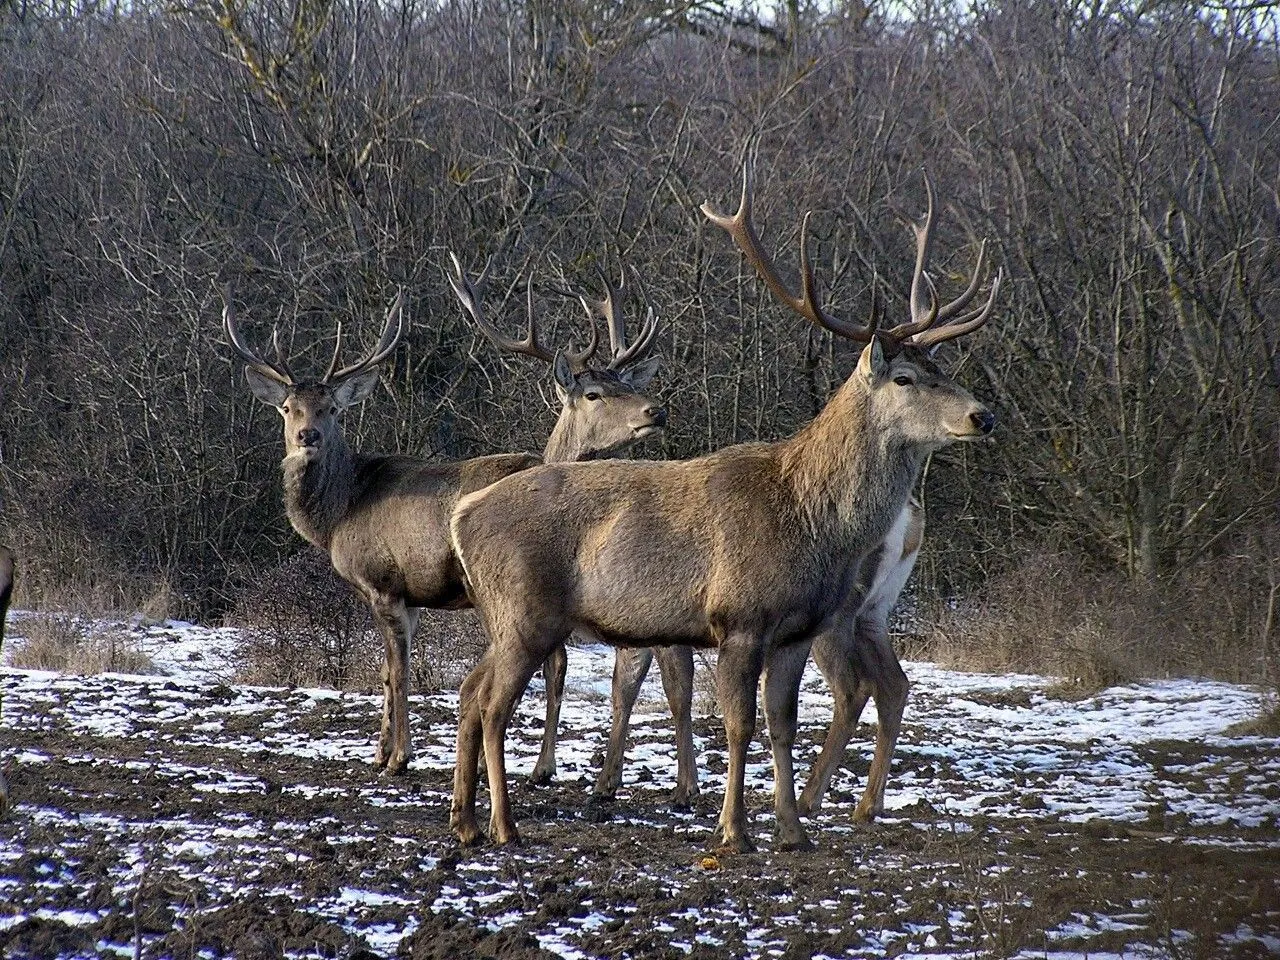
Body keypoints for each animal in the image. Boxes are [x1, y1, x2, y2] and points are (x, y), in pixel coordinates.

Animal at [229, 267, 665, 778]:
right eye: (287, 408)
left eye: (332, 408)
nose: (307, 435)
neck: (340, 512)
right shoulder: (411, 592)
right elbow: (386, 671)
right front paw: (380, 751)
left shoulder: (381, 580)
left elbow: (399, 672)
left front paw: (398, 757)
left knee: (560, 661)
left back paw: (542, 767)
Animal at [448, 168, 998, 855]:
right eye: (904, 377)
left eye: (939, 366)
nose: (982, 415)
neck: (808, 516)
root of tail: (462, 515)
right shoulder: (737, 617)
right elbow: (738, 725)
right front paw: (732, 830)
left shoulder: (797, 628)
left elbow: (782, 724)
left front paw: (791, 830)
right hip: (525, 610)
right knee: (492, 703)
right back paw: (502, 824)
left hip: (506, 618)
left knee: (470, 691)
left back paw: (465, 819)